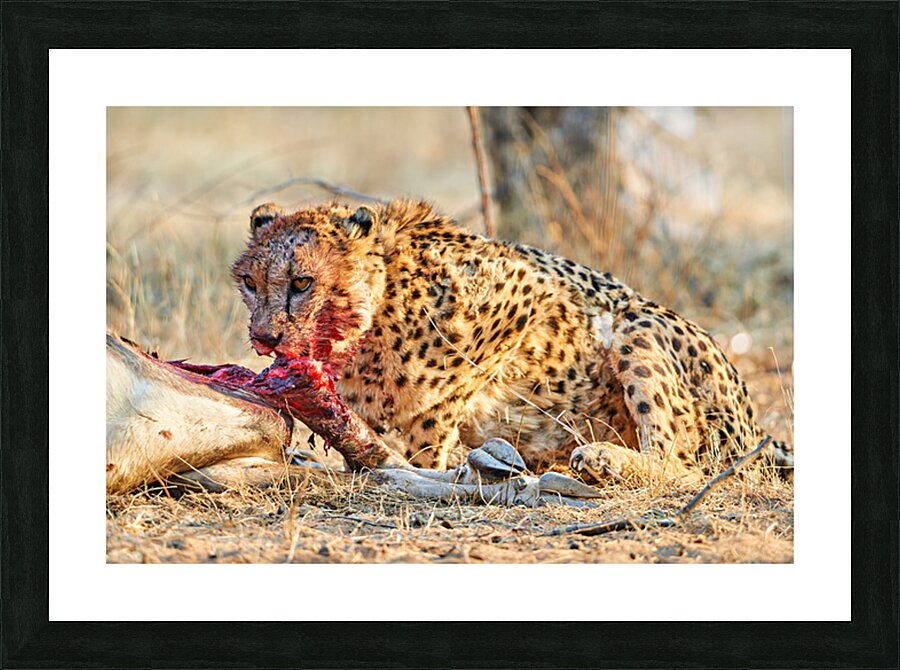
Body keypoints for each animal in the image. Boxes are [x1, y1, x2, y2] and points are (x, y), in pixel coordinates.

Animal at [231, 198, 793, 484]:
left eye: (302, 282)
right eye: (250, 282)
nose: (262, 336)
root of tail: (754, 425)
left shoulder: (530, 292)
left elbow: (440, 405)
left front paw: (429, 461)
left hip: (640, 325)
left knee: (688, 465)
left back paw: (602, 459)